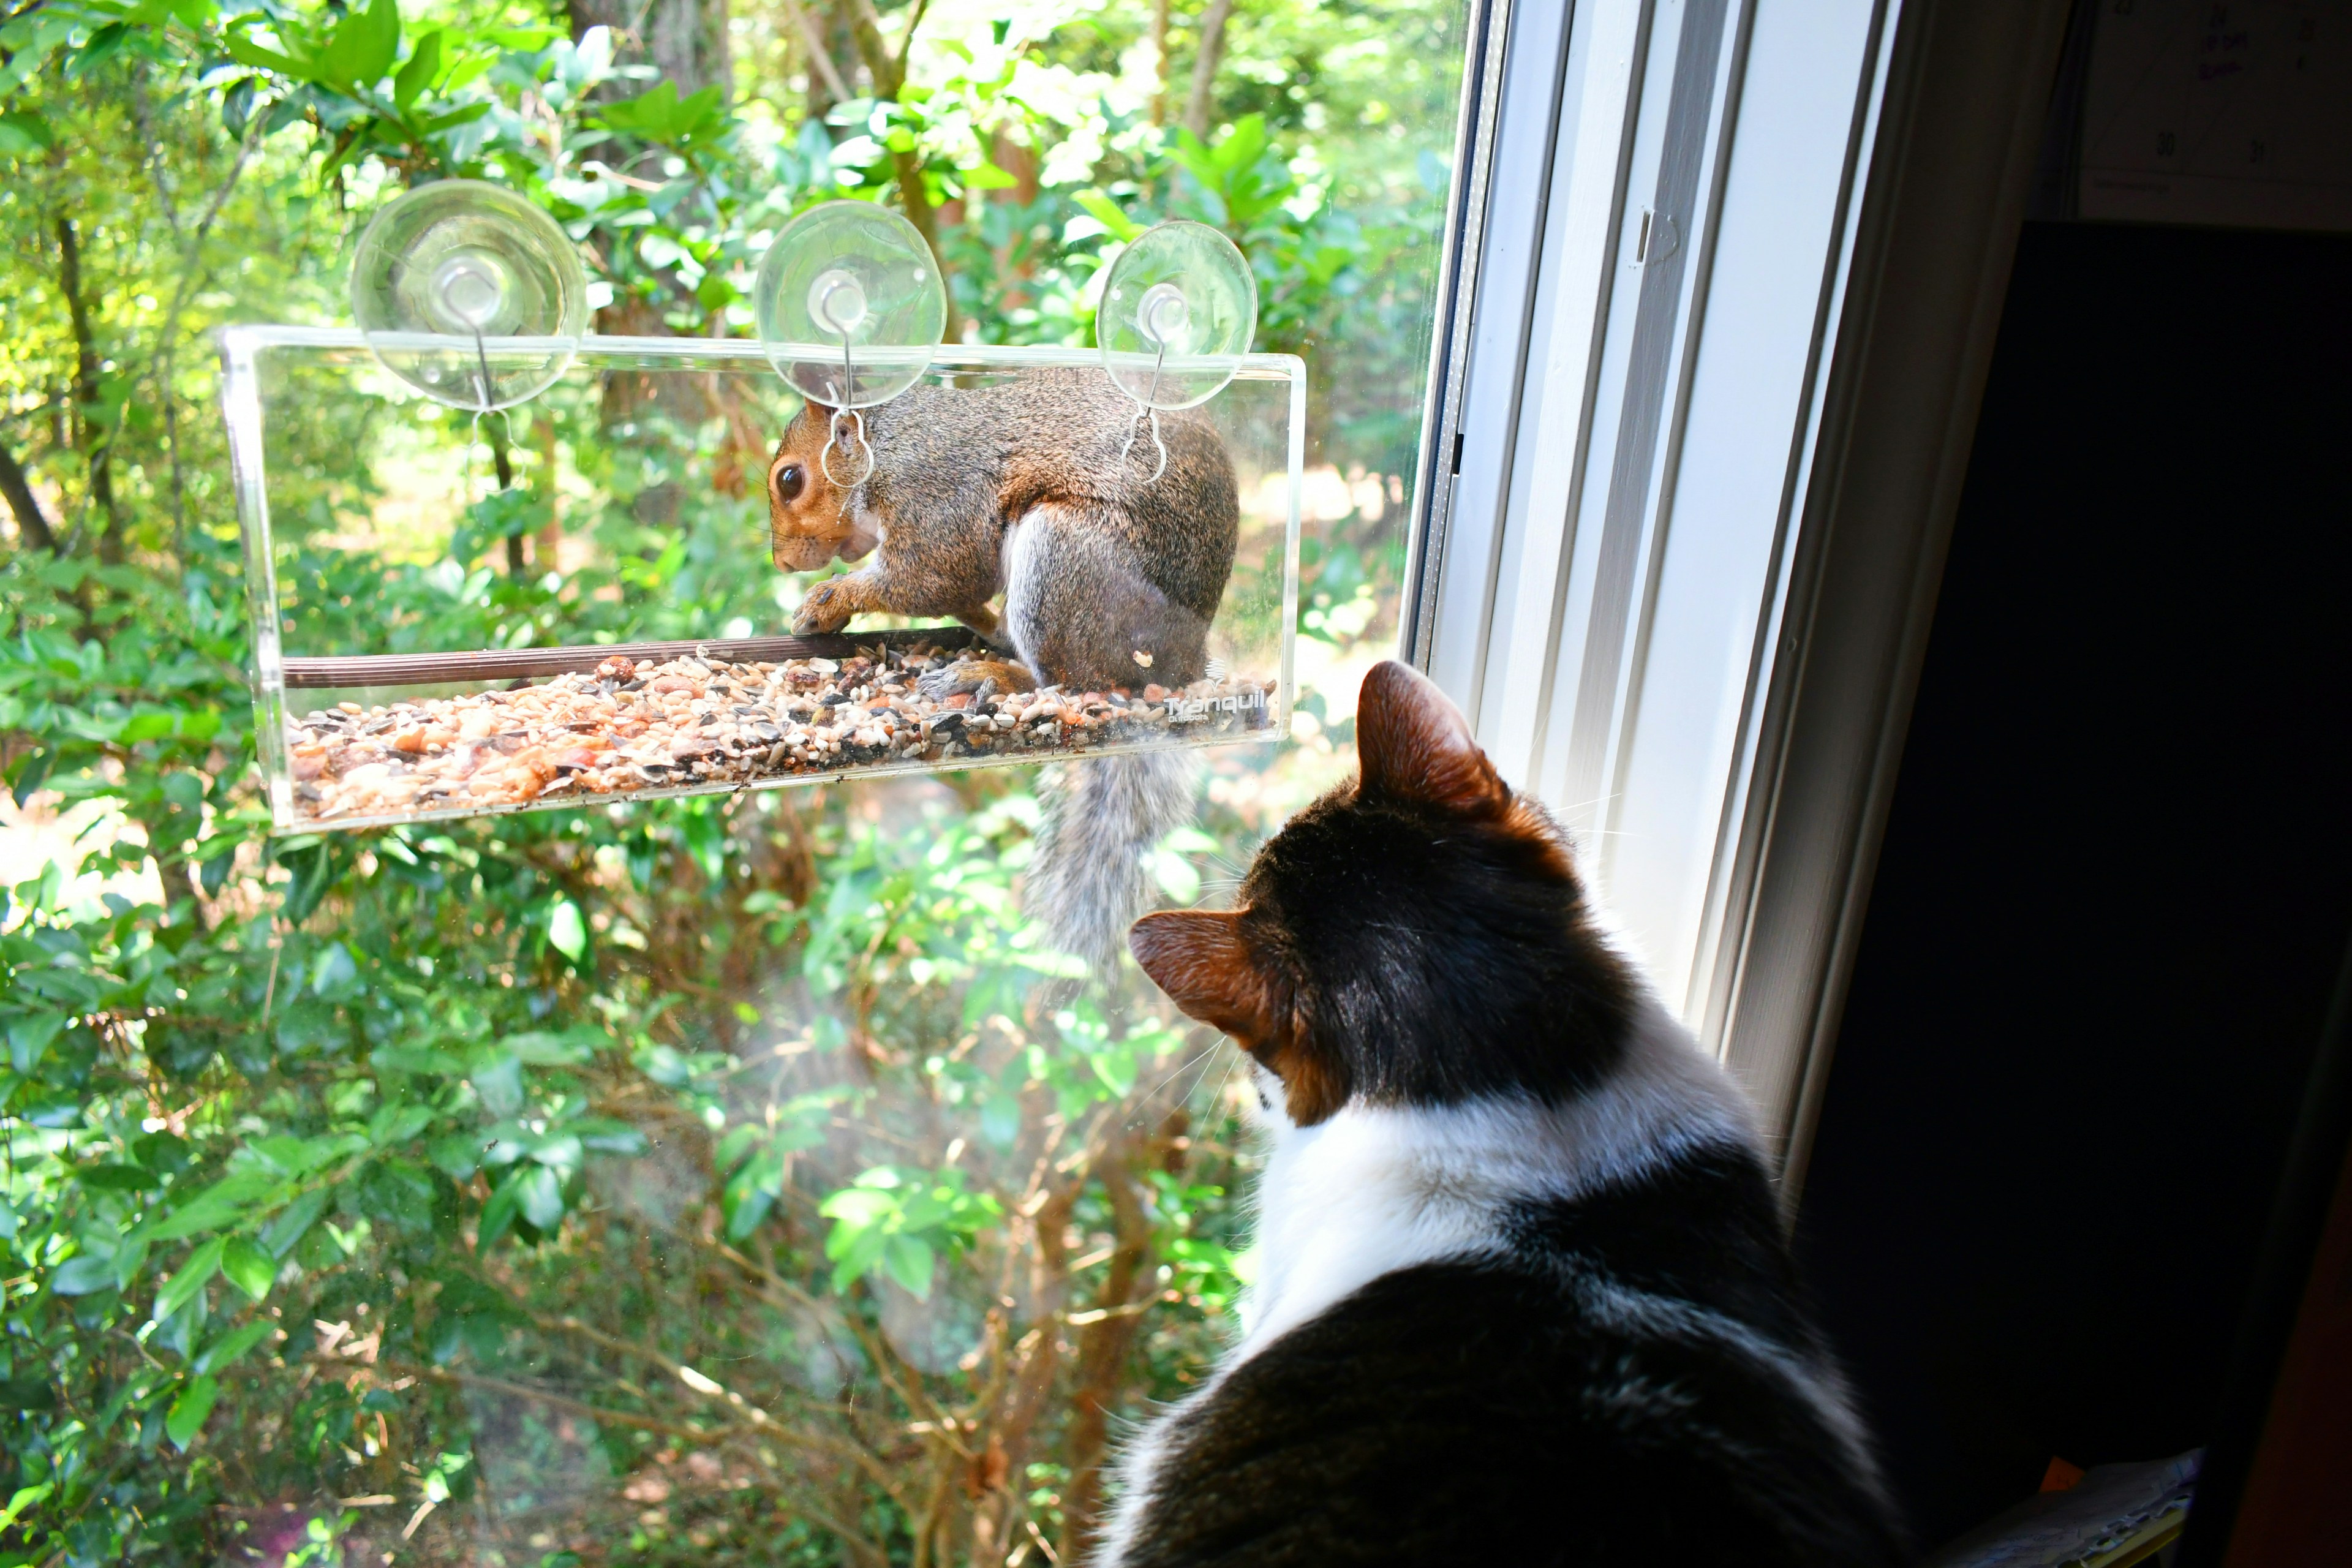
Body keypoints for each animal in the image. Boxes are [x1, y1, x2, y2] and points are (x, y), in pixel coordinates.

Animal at [765, 365, 1242, 969]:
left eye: (789, 479)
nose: (782, 562)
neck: (887, 446)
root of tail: (1185, 665)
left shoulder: (937, 496)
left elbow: (934, 577)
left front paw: (828, 600)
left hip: (1066, 559)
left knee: (1071, 682)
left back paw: (990, 676)